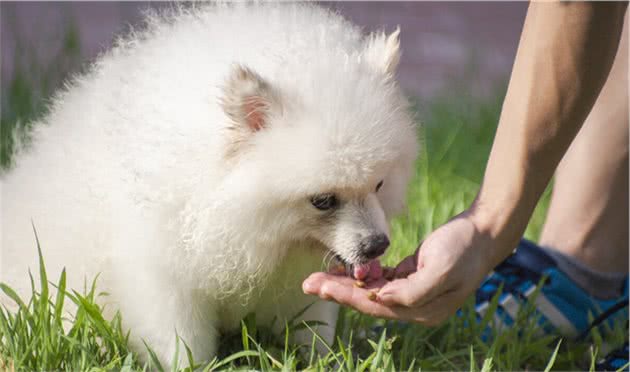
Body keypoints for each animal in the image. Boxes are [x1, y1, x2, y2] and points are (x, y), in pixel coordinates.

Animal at [3, 1, 420, 364]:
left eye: (379, 184)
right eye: (322, 200)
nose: (377, 245)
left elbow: (313, 327)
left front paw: (324, 360)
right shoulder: (162, 272)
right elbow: (180, 341)